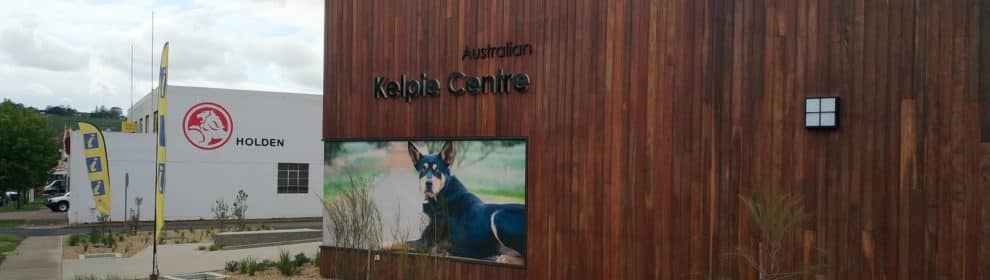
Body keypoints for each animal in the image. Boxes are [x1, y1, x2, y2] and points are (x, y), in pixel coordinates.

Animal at [384, 142, 532, 264]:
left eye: (437, 170)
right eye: (423, 169)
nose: (428, 184)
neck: (442, 194)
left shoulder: (425, 243)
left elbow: (391, 242)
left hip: (498, 215)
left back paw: (504, 258)